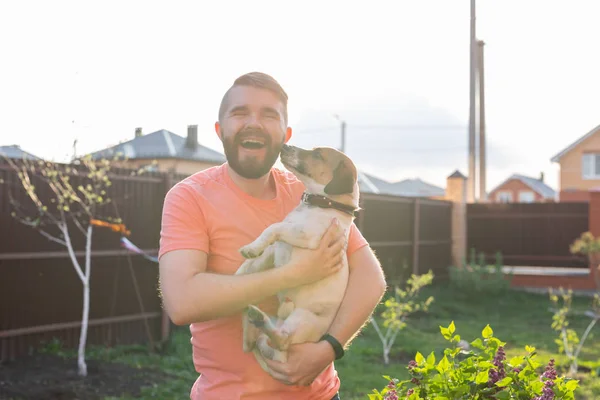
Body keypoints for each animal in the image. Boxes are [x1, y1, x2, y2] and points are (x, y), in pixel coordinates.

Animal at [234, 145, 358, 378]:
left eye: (318, 154)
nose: (284, 146)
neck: (318, 206)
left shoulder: (306, 236)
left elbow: (273, 227)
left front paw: (251, 249)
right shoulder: (275, 251)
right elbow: (252, 263)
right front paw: (247, 259)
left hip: (301, 319)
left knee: (281, 340)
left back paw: (260, 320)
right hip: (277, 321)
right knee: (251, 342)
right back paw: (254, 319)